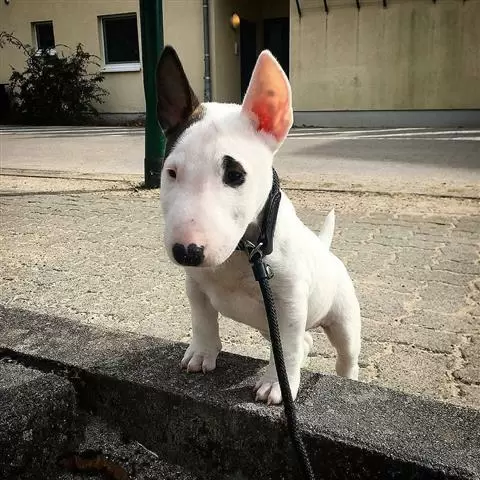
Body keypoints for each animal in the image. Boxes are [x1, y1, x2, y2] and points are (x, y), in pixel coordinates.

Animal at [155, 45, 360, 404]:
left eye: (235, 175)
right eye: (171, 172)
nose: (186, 252)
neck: (244, 250)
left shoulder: (290, 305)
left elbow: (287, 348)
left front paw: (278, 385)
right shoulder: (195, 285)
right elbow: (202, 318)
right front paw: (201, 353)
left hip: (344, 317)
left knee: (345, 355)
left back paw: (347, 377)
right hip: (268, 327)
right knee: (305, 342)